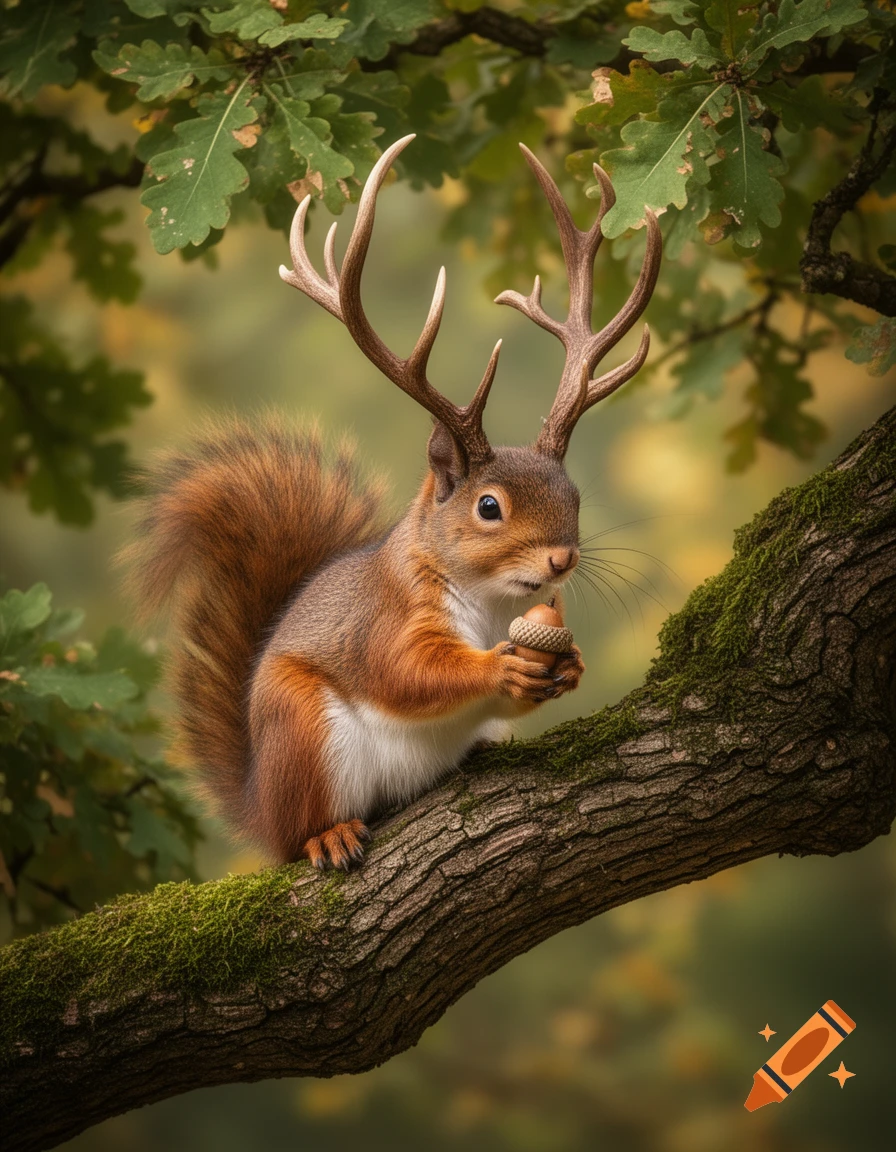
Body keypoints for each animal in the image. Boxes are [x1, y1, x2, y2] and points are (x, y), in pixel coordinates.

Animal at [127, 136, 662, 870]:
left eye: (573, 496)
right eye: (488, 507)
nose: (562, 560)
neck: (494, 604)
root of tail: (260, 803)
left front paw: (570, 665)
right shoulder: (388, 616)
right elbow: (406, 671)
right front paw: (497, 667)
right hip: (300, 727)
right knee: (300, 830)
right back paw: (326, 835)